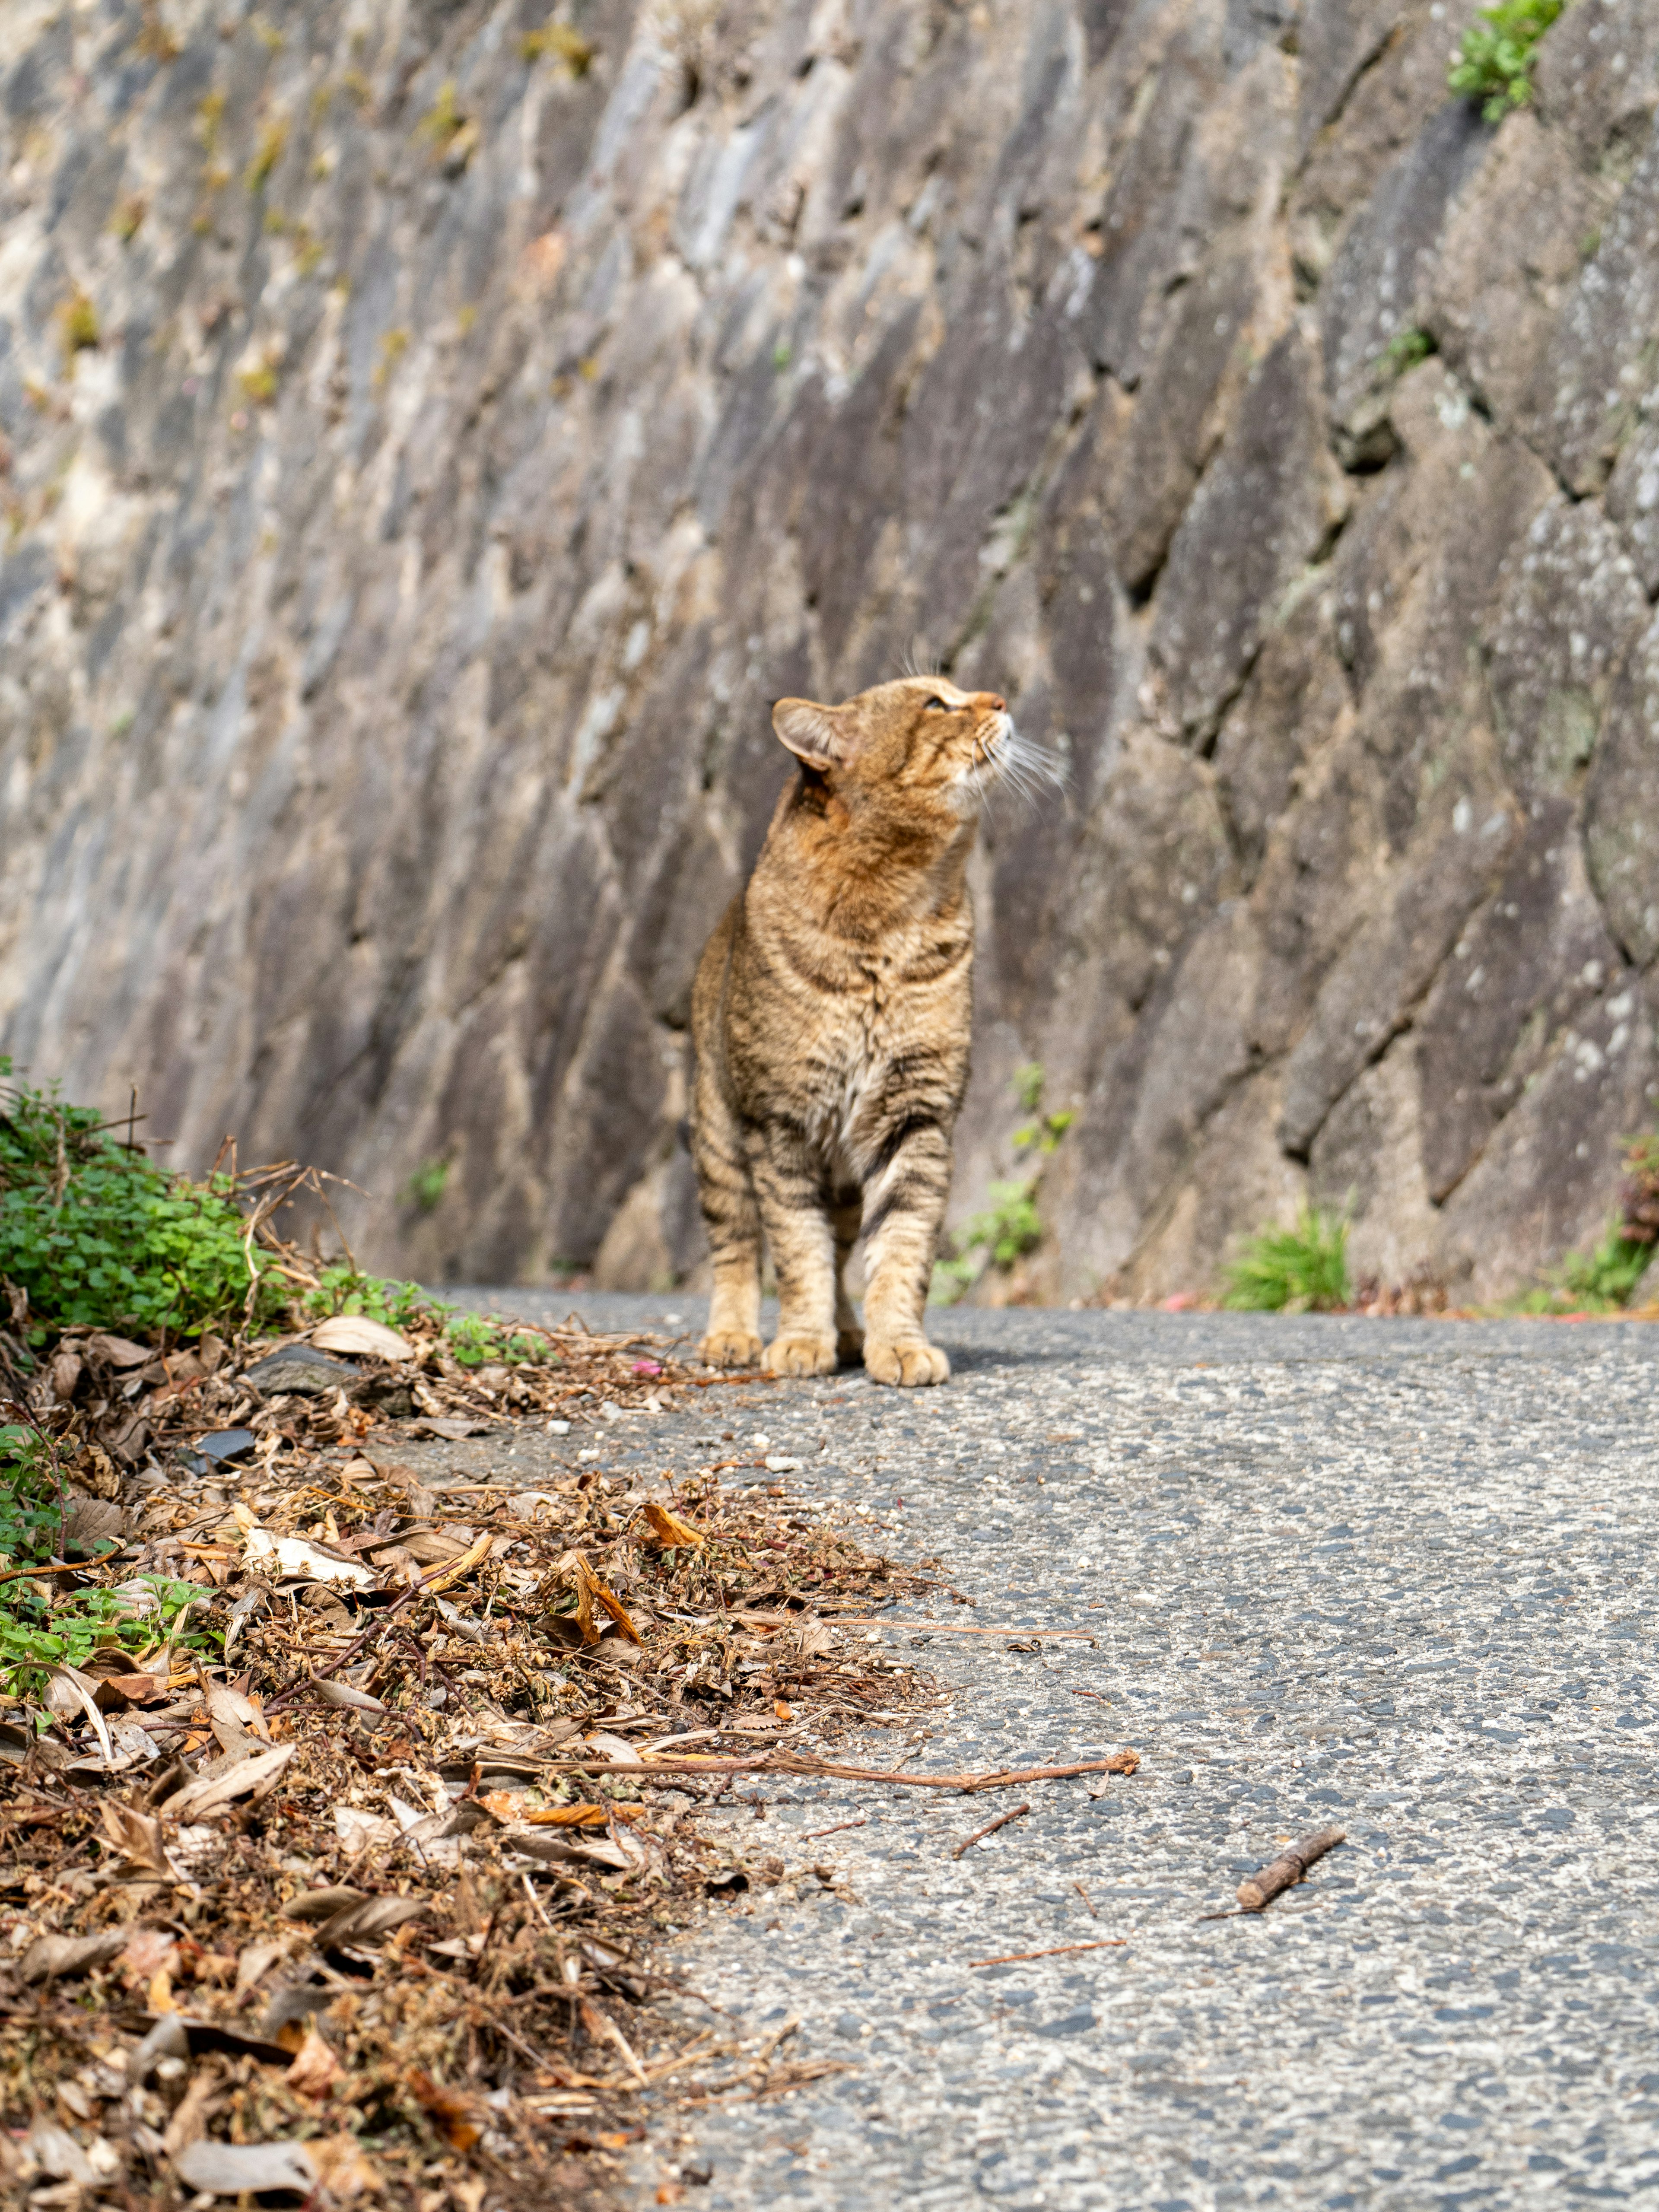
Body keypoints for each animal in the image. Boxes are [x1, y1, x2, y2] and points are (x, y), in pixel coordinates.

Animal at [690, 672, 1026, 1389]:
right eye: (935, 703)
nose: (1002, 698)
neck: (892, 916)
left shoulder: (917, 1115)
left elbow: (900, 1248)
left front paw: (895, 1344)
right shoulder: (780, 1124)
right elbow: (797, 1250)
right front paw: (799, 1342)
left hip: (840, 1174)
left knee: (845, 1247)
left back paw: (848, 1332)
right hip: (721, 1141)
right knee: (737, 1247)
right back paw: (732, 1336)